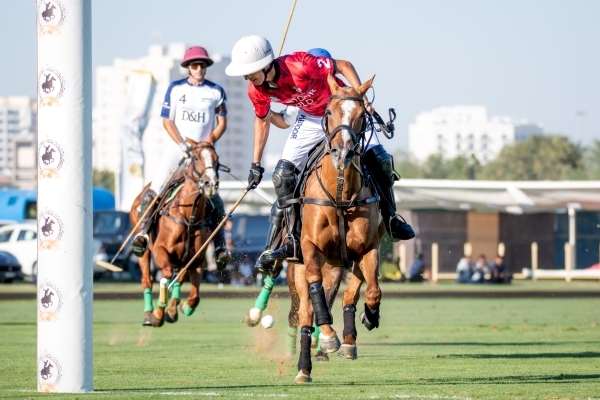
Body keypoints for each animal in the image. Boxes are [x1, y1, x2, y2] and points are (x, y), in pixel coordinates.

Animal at [129, 141, 220, 328]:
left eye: (217, 158)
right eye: (196, 157)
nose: (211, 184)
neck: (189, 217)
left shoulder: (197, 260)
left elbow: (194, 296)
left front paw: (182, 307)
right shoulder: (160, 250)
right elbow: (165, 275)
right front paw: (157, 314)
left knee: (179, 278)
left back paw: (172, 309)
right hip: (144, 250)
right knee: (147, 279)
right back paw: (148, 314)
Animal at [294, 73, 386, 382]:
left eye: (361, 115)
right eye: (329, 112)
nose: (342, 153)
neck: (340, 196)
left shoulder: (369, 248)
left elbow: (372, 291)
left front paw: (369, 316)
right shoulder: (310, 248)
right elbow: (316, 293)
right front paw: (328, 336)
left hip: (342, 263)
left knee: (348, 292)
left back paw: (348, 340)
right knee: (307, 313)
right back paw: (305, 366)